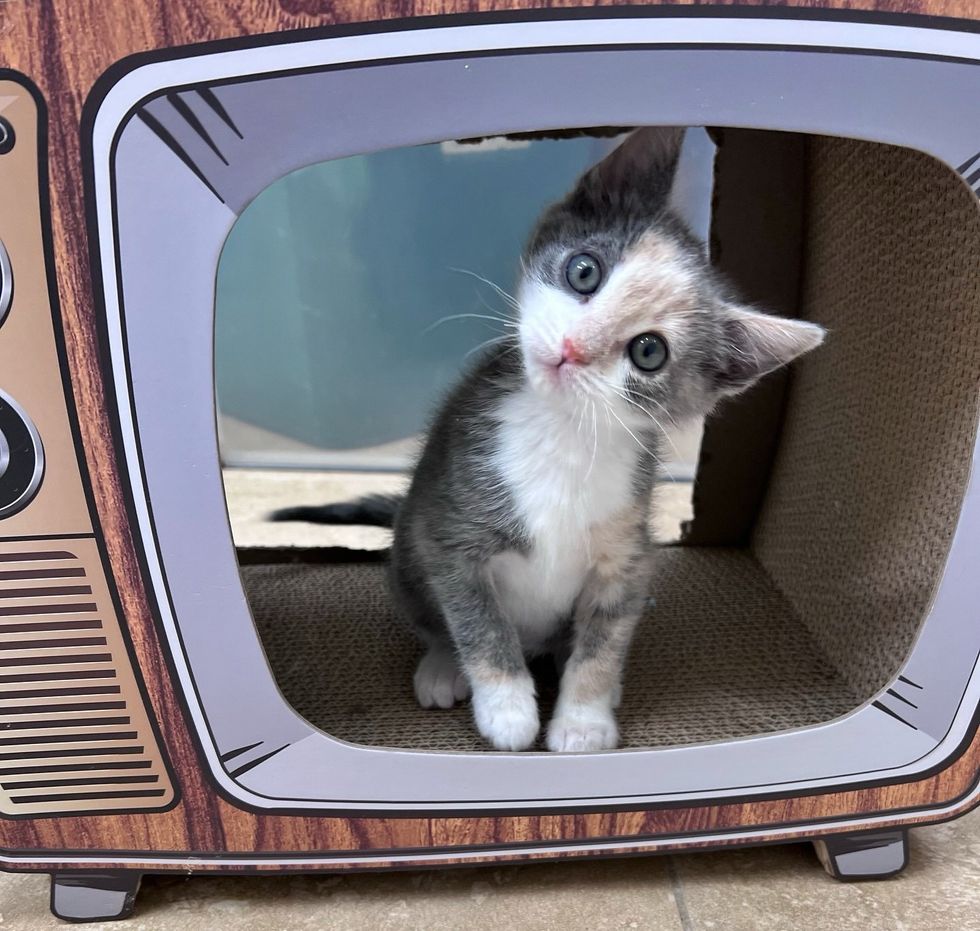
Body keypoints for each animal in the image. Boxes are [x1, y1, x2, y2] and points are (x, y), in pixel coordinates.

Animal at [272, 125, 824, 748]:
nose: (571, 350)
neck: (563, 430)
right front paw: (508, 709)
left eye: (649, 352)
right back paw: (441, 665)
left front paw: (583, 720)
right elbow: (478, 622)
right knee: (432, 618)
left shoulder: (627, 559)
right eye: (584, 272)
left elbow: (602, 645)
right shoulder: (451, 532)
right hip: (409, 551)